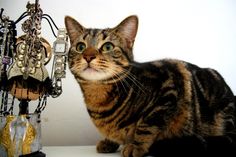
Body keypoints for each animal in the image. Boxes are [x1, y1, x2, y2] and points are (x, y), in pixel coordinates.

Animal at [63, 15, 235, 157]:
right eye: (80, 47)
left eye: (107, 47)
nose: (88, 56)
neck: (98, 98)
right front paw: (109, 141)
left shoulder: (168, 89)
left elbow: (146, 124)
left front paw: (136, 146)